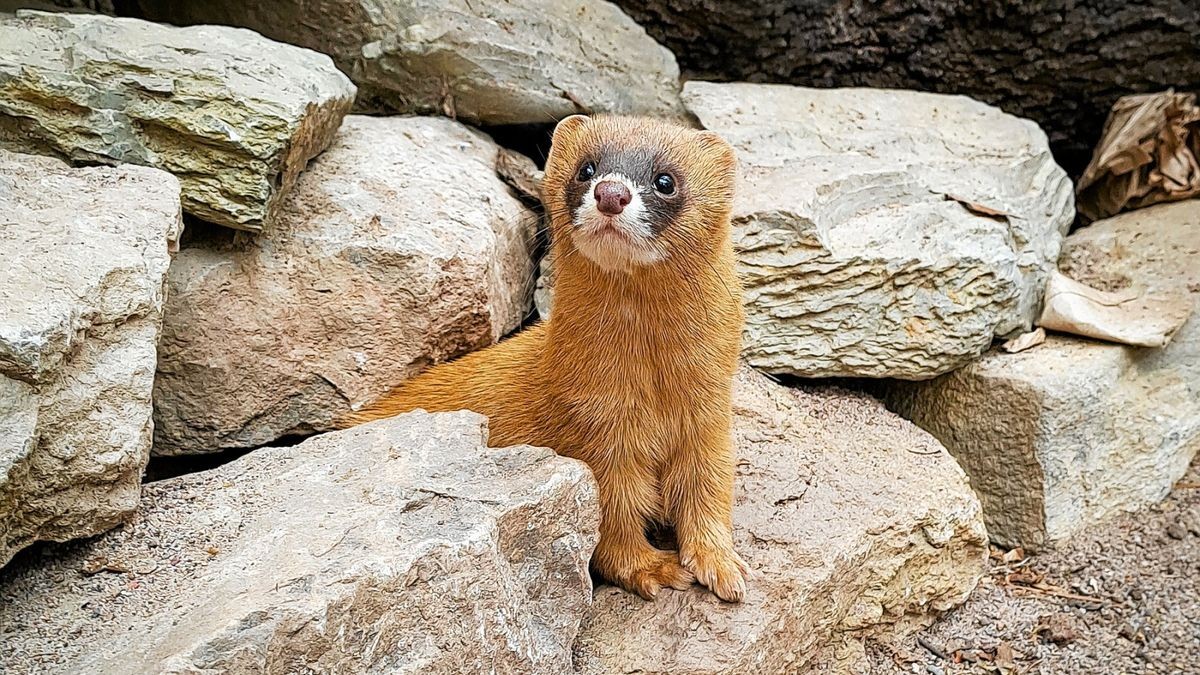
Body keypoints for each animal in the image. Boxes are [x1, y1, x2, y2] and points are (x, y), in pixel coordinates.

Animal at [340, 112, 748, 600]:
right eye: (586, 169)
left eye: (666, 180)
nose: (611, 193)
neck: (651, 388)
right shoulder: (593, 432)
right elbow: (612, 519)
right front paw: (653, 568)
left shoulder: (710, 417)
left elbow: (709, 489)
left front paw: (721, 564)